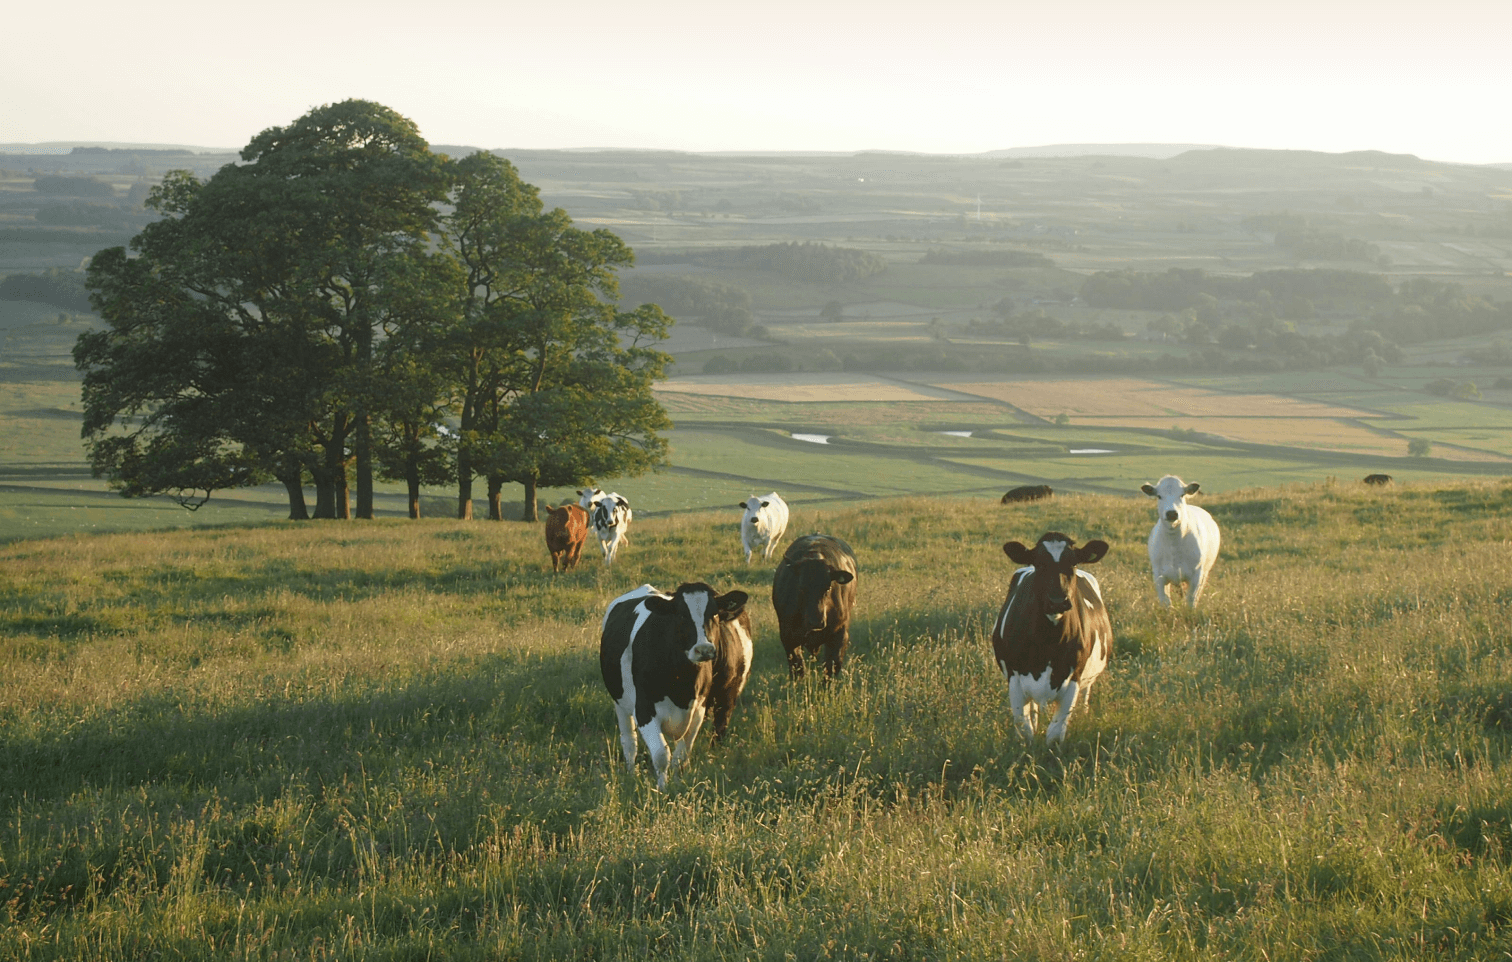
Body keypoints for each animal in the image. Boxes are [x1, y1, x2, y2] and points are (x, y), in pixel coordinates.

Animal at [599, 582, 752, 790]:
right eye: (681, 615)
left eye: (714, 614)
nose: (704, 649)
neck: (682, 684)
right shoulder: (644, 710)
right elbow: (661, 755)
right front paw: (662, 789)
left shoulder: (699, 710)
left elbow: (680, 757)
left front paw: (678, 785)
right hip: (620, 702)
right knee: (629, 742)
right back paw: (631, 775)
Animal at [772, 534, 858, 679]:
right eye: (801, 587)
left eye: (828, 587)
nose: (816, 622)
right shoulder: (788, 636)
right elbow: (798, 668)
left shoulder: (839, 634)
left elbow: (831, 668)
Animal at [991, 532, 1112, 746]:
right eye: (1039, 563)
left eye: (1073, 563)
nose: (1057, 601)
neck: (1047, 642)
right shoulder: (1015, 678)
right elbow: (1025, 729)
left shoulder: (1074, 678)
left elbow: (1055, 733)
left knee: (1085, 697)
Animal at [1140, 474, 1221, 608]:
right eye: (1159, 496)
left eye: (1182, 495)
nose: (1172, 513)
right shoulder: (1159, 575)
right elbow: (1166, 602)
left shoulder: (1196, 575)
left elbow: (1191, 601)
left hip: (1205, 572)